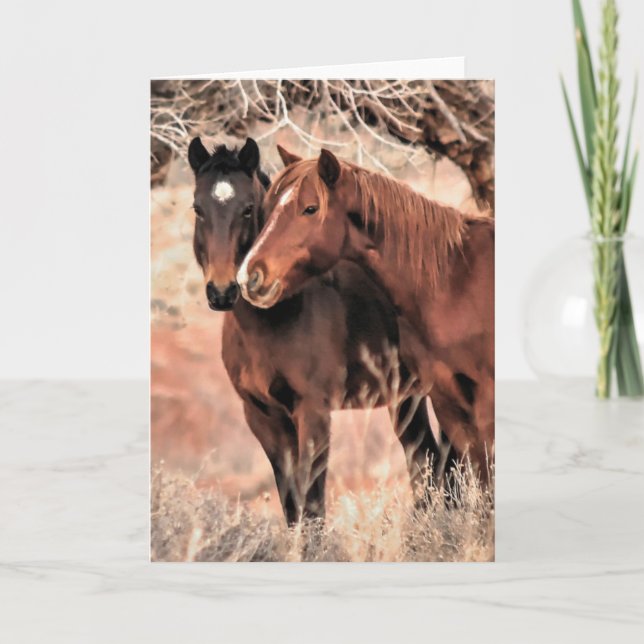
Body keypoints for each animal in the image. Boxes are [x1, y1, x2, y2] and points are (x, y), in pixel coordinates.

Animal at [188, 137, 455, 525]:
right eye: (198, 208)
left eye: (249, 209)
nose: (223, 290)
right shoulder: (263, 418)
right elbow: (292, 506)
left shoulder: (313, 412)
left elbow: (312, 505)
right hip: (405, 398)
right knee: (428, 464)